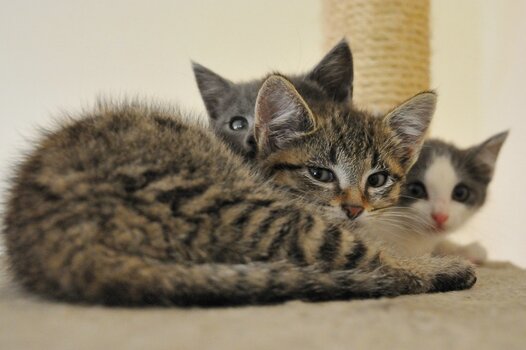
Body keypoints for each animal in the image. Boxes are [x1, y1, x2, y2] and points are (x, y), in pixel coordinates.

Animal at [2, 74, 476, 306]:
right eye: (320, 174)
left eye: (377, 179)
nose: (355, 210)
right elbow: (381, 253)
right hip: (241, 207)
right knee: (374, 266)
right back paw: (444, 271)